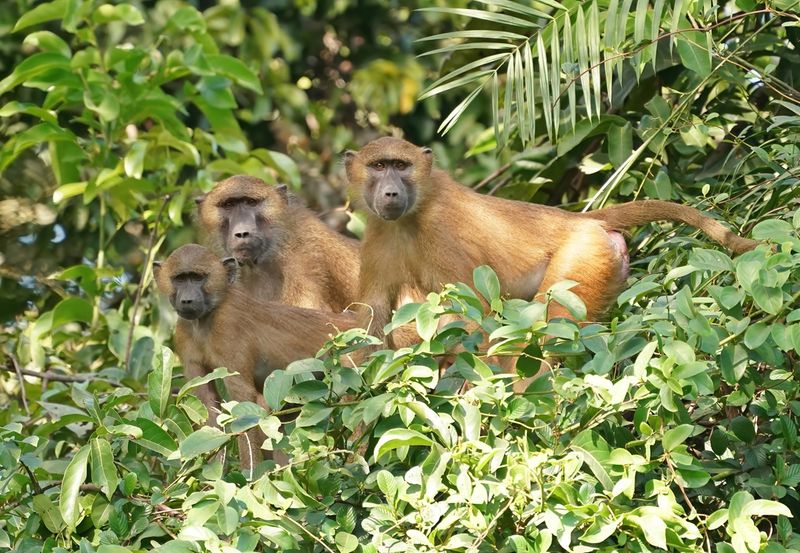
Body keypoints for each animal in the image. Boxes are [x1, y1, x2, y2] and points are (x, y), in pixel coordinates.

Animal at [152, 244, 363, 472]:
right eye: (180, 278)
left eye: (198, 277)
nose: (187, 300)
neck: (207, 317)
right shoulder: (184, 333)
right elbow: (209, 406)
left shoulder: (228, 326)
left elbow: (243, 402)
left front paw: (247, 476)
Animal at [344, 136, 761, 353]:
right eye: (378, 166)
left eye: (401, 165)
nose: (391, 192)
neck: (413, 214)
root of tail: (578, 220)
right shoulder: (378, 237)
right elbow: (371, 329)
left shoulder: (441, 235)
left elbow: (473, 319)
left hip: (585, 254)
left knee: (551, 330)